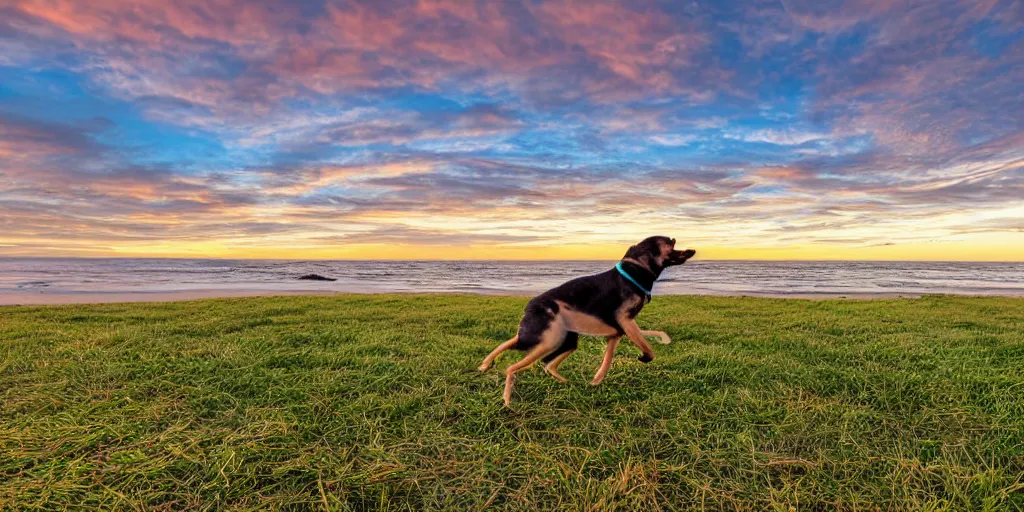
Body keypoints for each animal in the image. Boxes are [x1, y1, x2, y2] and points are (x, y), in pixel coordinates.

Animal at [479, 236, 696, 407]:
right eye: (669, 242)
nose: (691, 249)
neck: (634, 273)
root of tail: (530, 305)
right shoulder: (626, 322)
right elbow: (648, 349)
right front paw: (644, 356)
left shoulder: (619, 332)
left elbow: (610, 361)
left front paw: (595, 382)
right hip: (547, 340)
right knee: (512, 365)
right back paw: (507, 400)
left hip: (564, 341)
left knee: (546, 364)